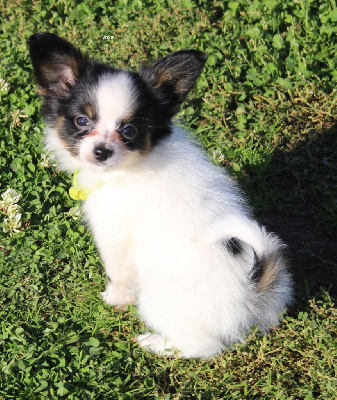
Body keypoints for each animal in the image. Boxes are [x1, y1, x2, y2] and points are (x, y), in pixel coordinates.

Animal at [28, 32, 292, 358]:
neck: (130, 165)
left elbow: (118, 274)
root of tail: (249, 292)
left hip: (157, 300)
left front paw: (114, 298)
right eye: (81, 121)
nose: (102, 151)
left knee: (202, 346)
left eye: (129, 130)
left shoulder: (114, 236)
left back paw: (155, 343)